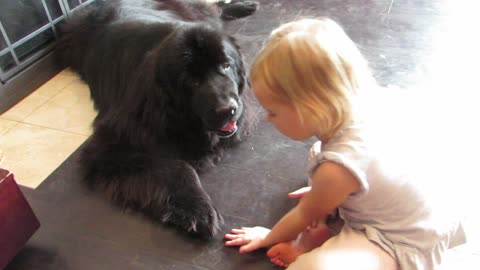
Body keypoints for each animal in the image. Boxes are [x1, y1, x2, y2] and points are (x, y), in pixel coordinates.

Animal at [57, 0, 258, 236]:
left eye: (226, 65)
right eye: (191, 81)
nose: (227, 110)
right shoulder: (109, 146)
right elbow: (177, 167)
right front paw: (197, 208)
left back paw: (243, 6)